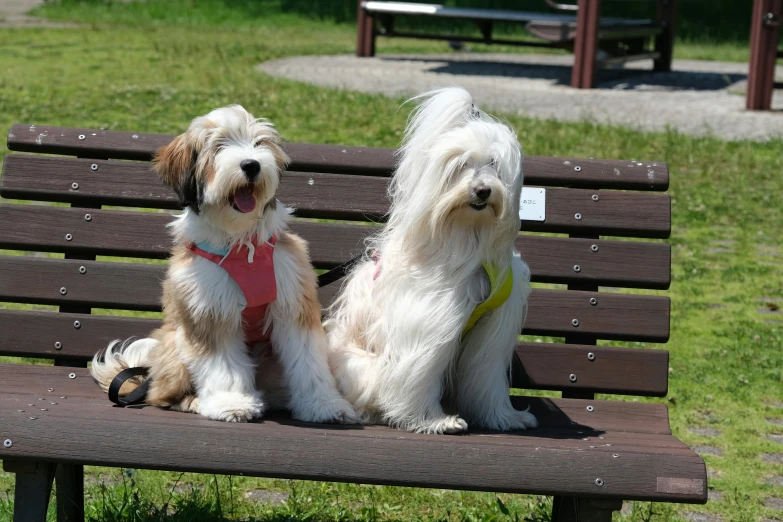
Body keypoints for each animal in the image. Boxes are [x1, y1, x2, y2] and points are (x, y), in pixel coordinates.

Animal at [91, 104, 358, 422]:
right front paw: (232, 403)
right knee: (161, 395)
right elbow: (223, 361)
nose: (252, 165)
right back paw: (194, 401)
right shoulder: (210, 308)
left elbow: (307, 360)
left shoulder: (292, 300)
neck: (241, 242)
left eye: (259, 143)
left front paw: (324, 404)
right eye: (219, 146)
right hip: (175, 345)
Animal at [326, 87, 540, 432]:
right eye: (459, 165)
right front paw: (432, 420)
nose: (482, 190)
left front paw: (504, 418)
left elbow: (488, 376)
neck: (468, 237)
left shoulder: (493, 331)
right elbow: (418, 375)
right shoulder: (428, 324)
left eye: (493, 164)